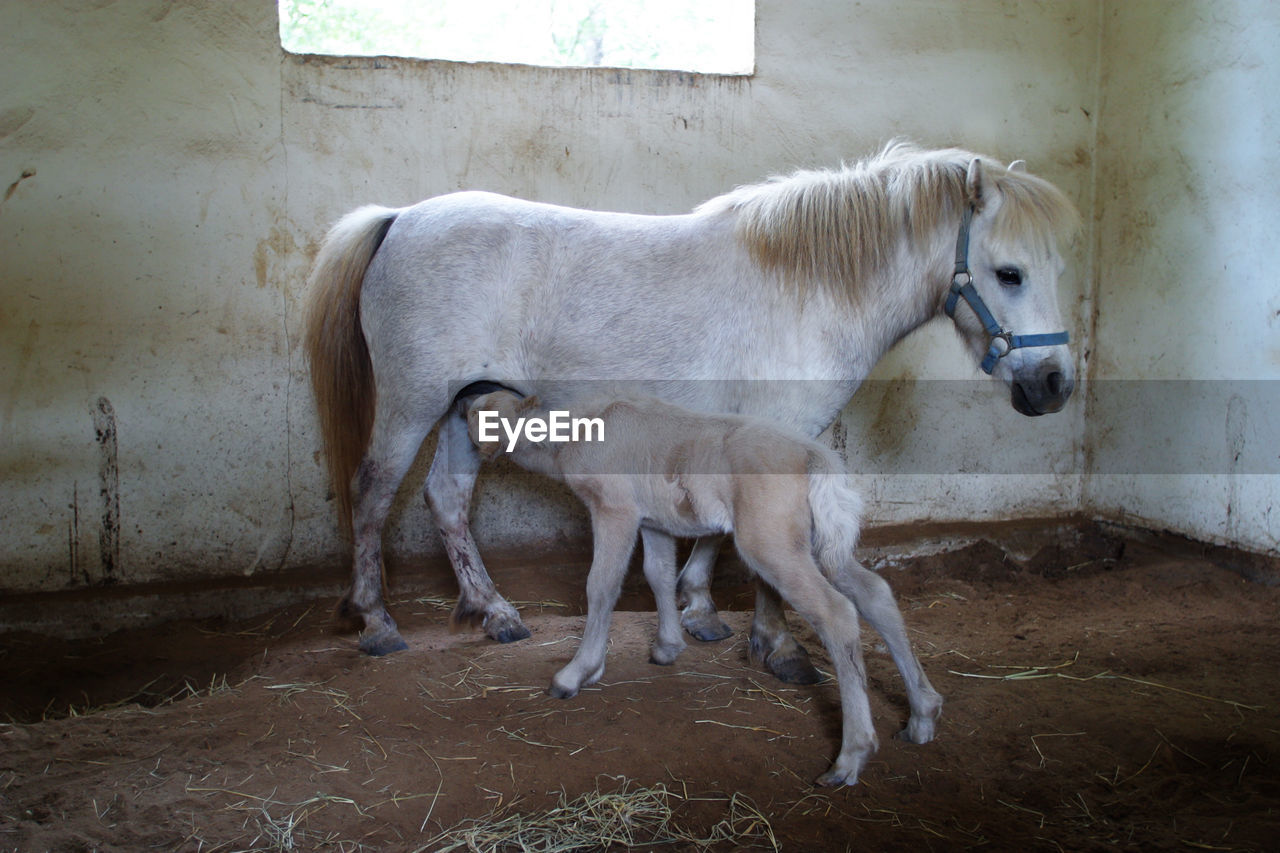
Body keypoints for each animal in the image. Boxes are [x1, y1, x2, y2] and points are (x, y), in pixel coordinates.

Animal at [302, 139, 1080, 660]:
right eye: (1009, 272)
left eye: (1056, 266)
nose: (1055, 384)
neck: (807, 290)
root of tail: (400, 218)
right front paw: (775, 642)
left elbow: (711, 528)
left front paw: (701, 610)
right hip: (412, 404)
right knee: (373, 494)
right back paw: (377, 622)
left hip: (471, 406)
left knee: (447, 499)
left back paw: (493, 612)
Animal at [460, 384, 942, 783]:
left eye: (485, 415)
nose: (471, 438)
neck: (572, 435)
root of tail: (812, 455)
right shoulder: (654, 520)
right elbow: (658, 576)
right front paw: (667, 647)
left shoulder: (615, 508)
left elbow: (602, 585)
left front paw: (576, 674)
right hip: (818, 542)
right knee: (874, 593)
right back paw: (922, 715)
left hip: (770, 541)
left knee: (836, 612)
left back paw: (850, 757)